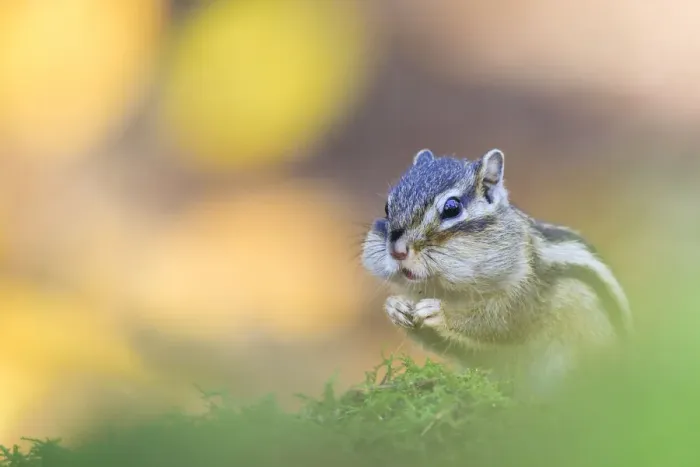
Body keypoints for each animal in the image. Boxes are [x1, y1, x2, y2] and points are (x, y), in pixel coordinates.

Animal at [361, 148, 632, 399]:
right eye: (387, 207)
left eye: (451, 208)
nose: (397, 251)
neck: (448, 290)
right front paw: (395, 307)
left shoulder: (527, 289)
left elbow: (502, 322)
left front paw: (440, 313)